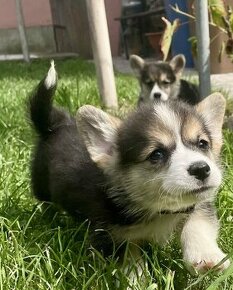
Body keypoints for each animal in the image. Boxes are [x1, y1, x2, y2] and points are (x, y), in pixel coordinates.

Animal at [28, 61, 229, 286]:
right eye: (156, 154)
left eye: (203, 144)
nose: (201, 169)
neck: (158, 209)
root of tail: (55, 125)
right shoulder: (110, 234)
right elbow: (128, 254)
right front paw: (136, 280)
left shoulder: (198, 206)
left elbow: (197, 225)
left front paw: (207, 258)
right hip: (41, 186)